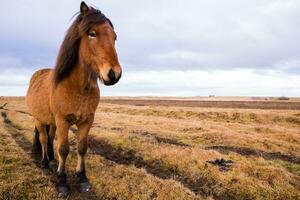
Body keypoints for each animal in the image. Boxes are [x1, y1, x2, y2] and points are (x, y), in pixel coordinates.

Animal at [24, 1, 120, 197]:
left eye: (114, 37)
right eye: (92, 33)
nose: (114, 74)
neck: (77, 87)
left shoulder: (87, 120)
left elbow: (82, 148)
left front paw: (82, 178)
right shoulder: (63, 120)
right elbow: (64, 149)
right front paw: (62, 182)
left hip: (51, 121)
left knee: (49, 137)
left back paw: (52, 159)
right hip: (39, 120)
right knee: (43, 139)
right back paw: (45, 162)